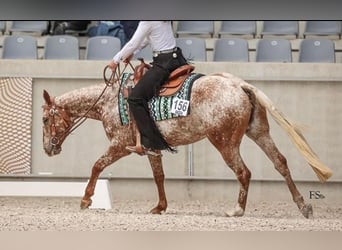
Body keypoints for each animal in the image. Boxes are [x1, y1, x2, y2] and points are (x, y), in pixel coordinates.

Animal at [41, 64, 332, 217]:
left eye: (44, 119)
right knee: (280, 162)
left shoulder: (119, 145)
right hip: (259, 133)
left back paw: (237, 210)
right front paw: (160, 206)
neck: (110, 102)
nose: (47, 148)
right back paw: (303, 206)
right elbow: (159, 177)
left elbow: (97, 166)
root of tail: (239, 85)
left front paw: (86, 199)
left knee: (243, 172)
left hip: (225, 143)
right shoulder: (152, 149)